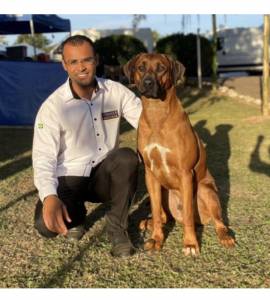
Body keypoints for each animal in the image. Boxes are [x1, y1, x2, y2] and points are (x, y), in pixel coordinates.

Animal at [123, 54, 235, 255]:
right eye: (141, 68)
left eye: (161, 68)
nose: (148, 83)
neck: (157, 114)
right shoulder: (150, 174)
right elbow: (156, 211)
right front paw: (156, 239)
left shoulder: (186, 173)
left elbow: (189, 215)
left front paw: (190, 244)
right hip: (164, 191)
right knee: (163, 216)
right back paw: (148, 222)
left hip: (206, 191)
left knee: (217, 221)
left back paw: (225, 236)